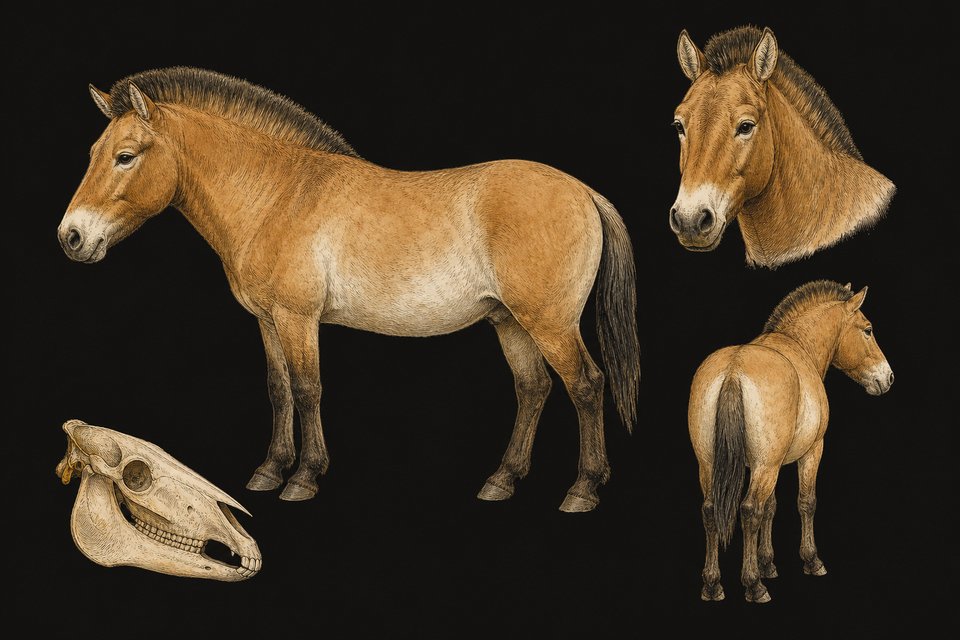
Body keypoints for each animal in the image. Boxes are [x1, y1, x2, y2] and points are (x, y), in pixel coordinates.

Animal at [57, 67, 640, 512]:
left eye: (126, 155)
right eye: (92, 151)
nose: (71, 237)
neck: (277, 195)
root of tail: (583, 191)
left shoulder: (298, 318)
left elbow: (308, 389)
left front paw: (303, 479)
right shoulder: (267, 321)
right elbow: (278, 388)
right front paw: (269, 471)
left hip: (549, 323)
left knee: (586, 385)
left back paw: (582, 490)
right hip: (509, 321)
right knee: (533, 388)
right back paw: (501, 482)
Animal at [688, 281, 893, 602]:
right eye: (868, 329)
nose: (888, 377)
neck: (798, 345)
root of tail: (733, 370)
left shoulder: (772, 464)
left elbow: (771, 508)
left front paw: (768, 564)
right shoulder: (811, 452)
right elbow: (806, 502)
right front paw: (811, 560)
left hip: (711, 465)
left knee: (711, 511)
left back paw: (712, 585)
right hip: (765, 467)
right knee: (749, 511)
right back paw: (754, 586)